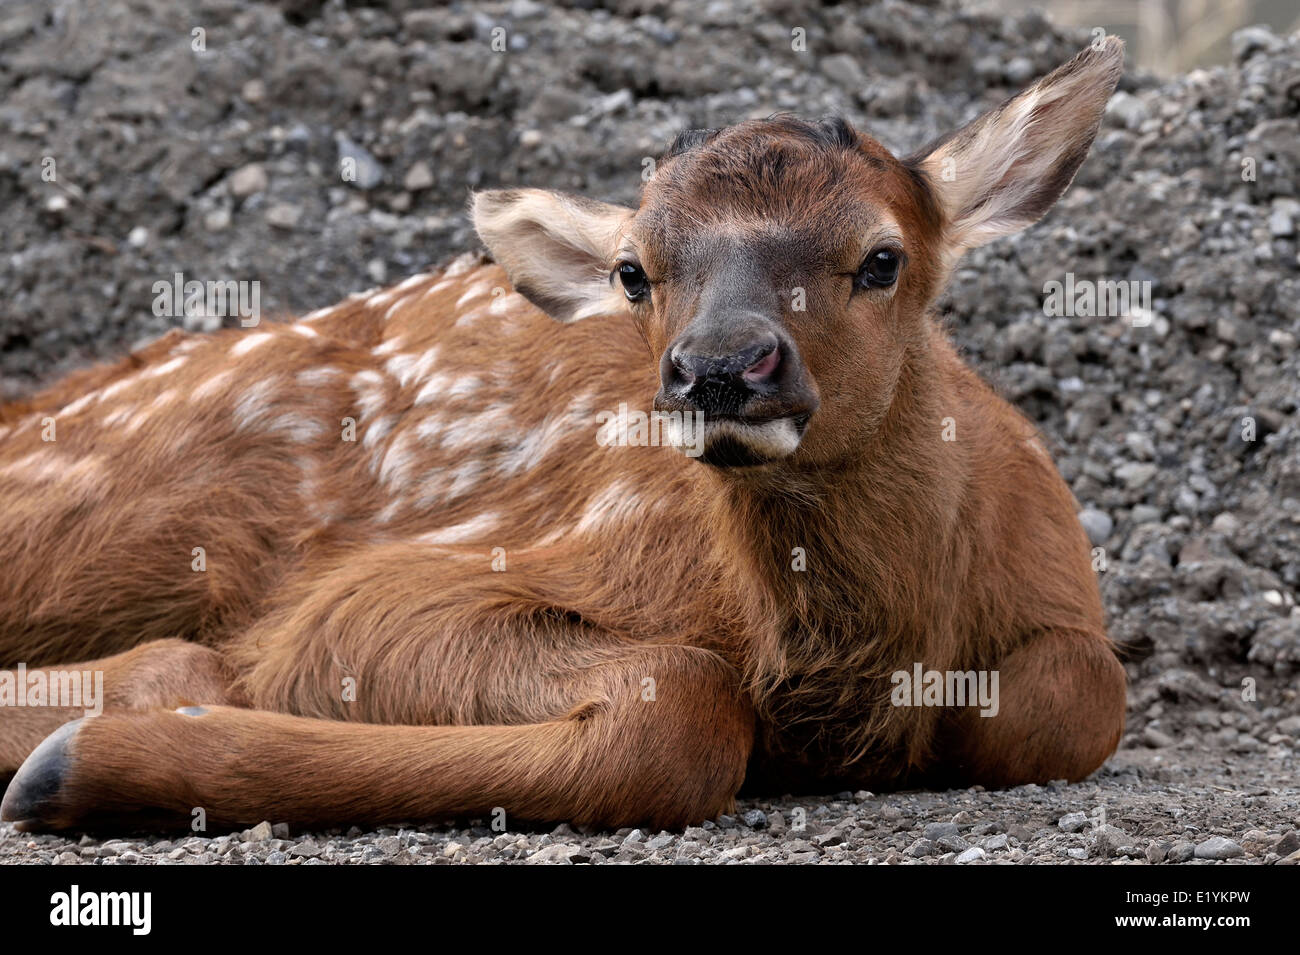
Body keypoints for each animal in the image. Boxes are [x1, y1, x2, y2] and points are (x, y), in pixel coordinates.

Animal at [0, 39, 1128, 831]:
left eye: (882, 257)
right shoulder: (379, 590)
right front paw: (78, 764)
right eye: (634, 269)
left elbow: (1074, 694)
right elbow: (677, 710)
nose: (719, 366)